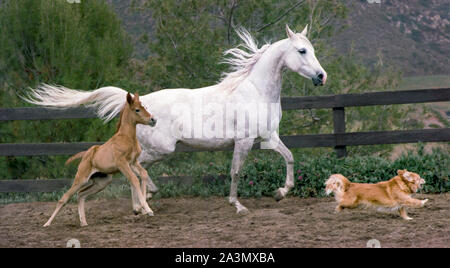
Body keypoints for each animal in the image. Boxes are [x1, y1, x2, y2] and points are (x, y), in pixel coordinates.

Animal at [44, 92, 156, 226]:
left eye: (145, 107)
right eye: (137, 109)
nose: (153, 120)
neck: (126, 137)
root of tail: (86, 155)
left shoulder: (133, 162)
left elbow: (143, 174)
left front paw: (141, 209)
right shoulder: (122, 163)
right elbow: (134, 179)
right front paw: (147, 209)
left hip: (102, 182)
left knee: (81, 194)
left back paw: (84, 223)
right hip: (81, 178)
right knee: (64, 198)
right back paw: (47, 224)